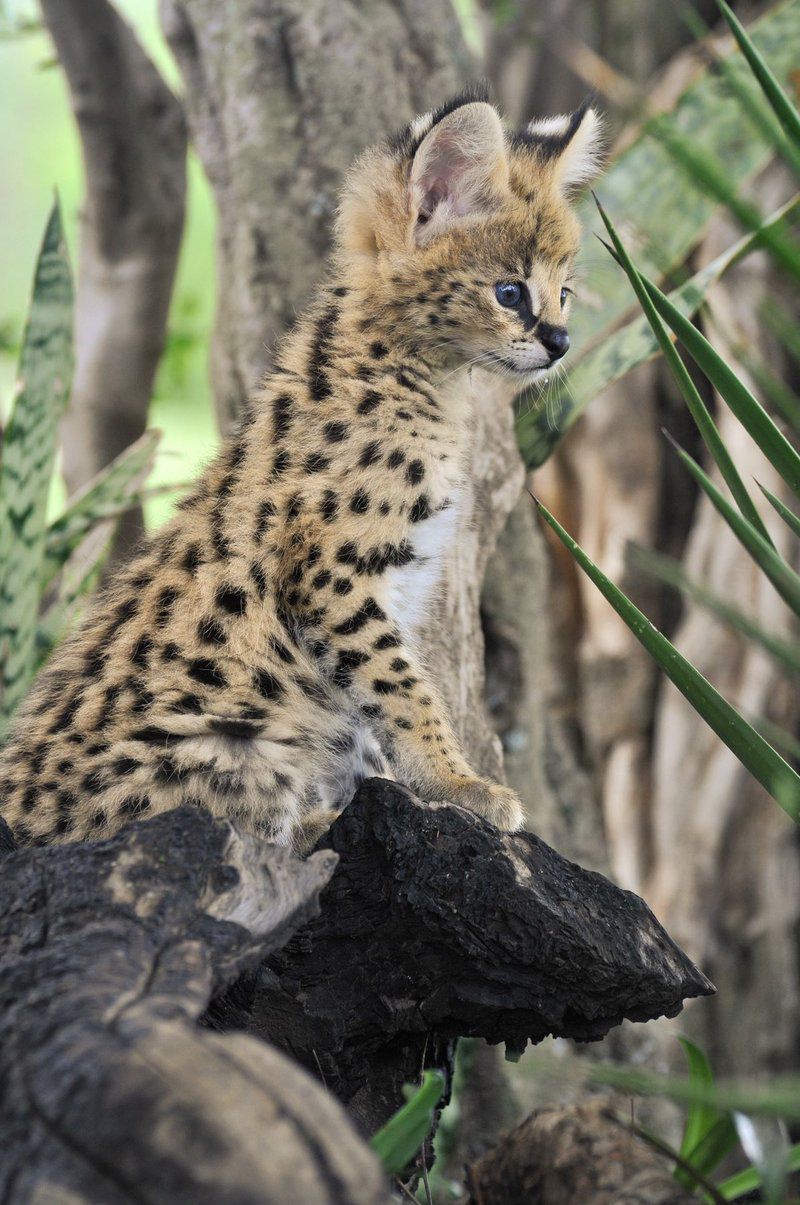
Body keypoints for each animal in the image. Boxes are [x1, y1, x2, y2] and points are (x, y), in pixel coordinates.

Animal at [0, 87, 600, 848]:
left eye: (566, 291)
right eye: (511, 292)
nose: (561, 343)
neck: (418, 377)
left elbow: (374, 713)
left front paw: (416, 787)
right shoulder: (334, 578)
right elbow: (403, 691)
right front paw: (459, 783)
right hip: (220, 736)